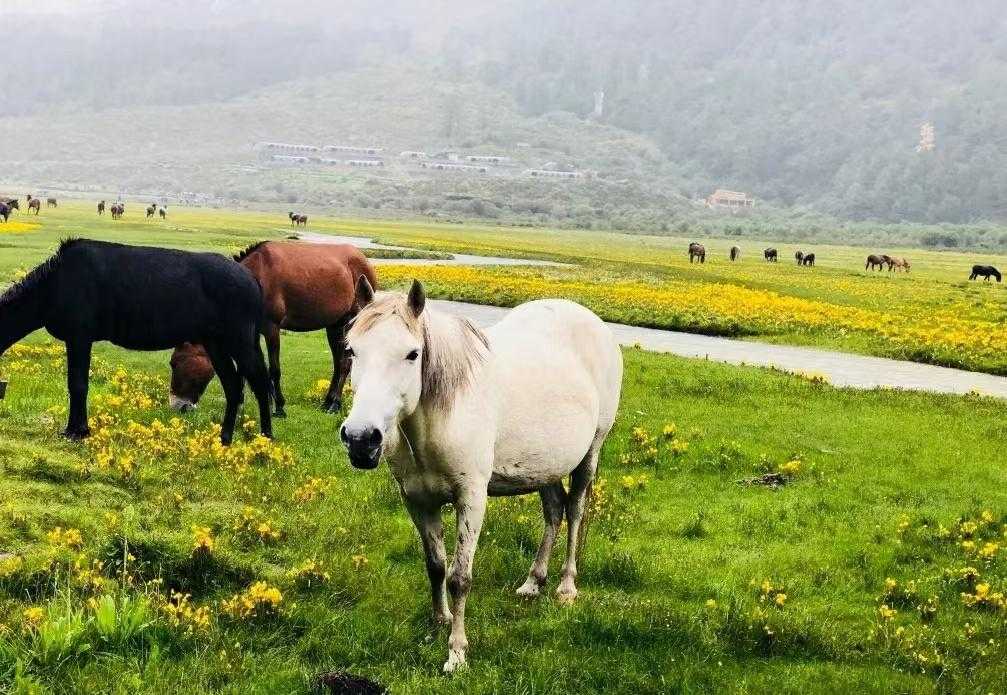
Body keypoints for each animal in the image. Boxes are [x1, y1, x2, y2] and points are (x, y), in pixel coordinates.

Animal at [0, 237, 271, 443]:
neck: (53, 286)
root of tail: (252, 279)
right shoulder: (77, 339)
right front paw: (76, 430)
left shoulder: (79, 337)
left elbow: (78, 384)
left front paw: (77, 432)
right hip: (216, 343)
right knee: (234, 386)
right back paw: (225, 439)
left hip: (240, 341)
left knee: (259, 382)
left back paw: (266, 438)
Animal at [167, 240, 376, 417]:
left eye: (175, 362)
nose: (177, 405)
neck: (256, 279)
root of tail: (361, 256)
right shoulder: (251, 332)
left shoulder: (271, 329)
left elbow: (274, 369)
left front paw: (279, 407)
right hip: (334, 325)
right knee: (338, 363)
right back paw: (328, 401)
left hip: (350, 320)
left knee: (344, 363)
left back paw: (335, 404)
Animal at [340, 278, 620, 672]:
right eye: (351, 350)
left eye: (412, 354)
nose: (361, 439)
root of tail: (596, 324)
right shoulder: (417, 501)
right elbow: (436, 566)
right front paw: (438, 621)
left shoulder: (471, 499)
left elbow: (460, 577)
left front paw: (457, 653)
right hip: (544, 467)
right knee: (554, 511)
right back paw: (533, 583)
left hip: (589, 455)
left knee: (576, 512)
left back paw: (566, 587)